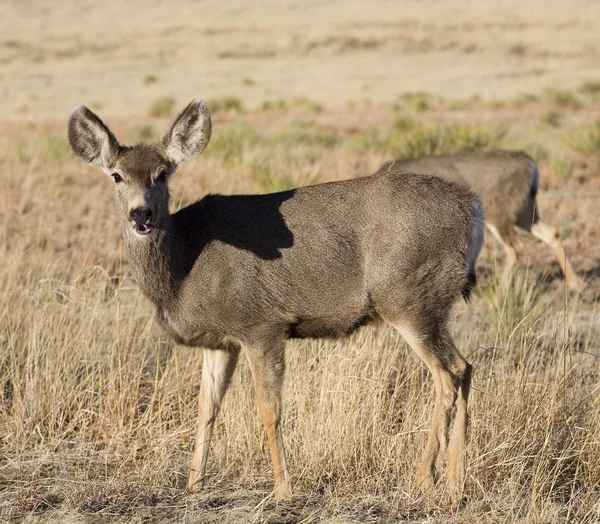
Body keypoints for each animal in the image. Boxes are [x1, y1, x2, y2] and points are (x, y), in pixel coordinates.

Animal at [68, 99, 486, 504]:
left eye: (163, 174)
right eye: (116, 175)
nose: (141, 214)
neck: (185, 265)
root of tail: (473, 209)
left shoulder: (261, 324)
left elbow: (269, 409)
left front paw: (282, 490)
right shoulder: (221, 340)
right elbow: (206, 407)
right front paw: (193, 485)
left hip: (409, 298)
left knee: (447, 374)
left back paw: (425, 480)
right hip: (428, 304)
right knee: (465, 367)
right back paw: (456, 481)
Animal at [380, 150, 580, 290]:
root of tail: (531, 165)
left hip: (498, 213)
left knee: (516, 247)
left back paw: (498, 297)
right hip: (525, 212)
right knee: (551, 232)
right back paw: (574, 283)